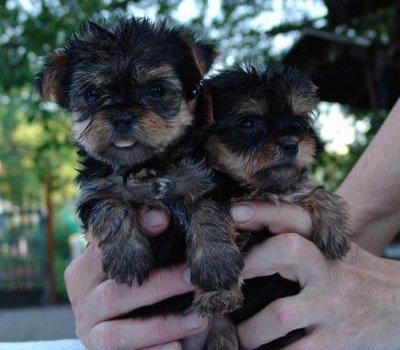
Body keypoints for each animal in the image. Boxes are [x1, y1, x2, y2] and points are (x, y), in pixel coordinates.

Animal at [37, 16, 244, 316]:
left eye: (156, 90)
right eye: (91, 94)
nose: (121, 117)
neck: (147, 166)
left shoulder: (207, 180)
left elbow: (209, 211)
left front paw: (217, 269)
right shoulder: (94, 190)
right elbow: (109, 207)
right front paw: (126, 257)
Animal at [197, 64, 350, 348]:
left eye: (299, 123)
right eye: (249, 125)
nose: (291, 143)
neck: (257, 188)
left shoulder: (289, 189)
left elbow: (310, 189)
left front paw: (334, 228)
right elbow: (212, 228)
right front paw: (217, 288)